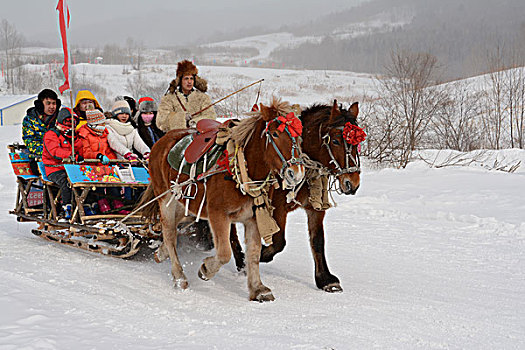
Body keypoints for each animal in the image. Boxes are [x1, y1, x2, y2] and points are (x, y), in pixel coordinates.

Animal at [144, 98, 308, 300]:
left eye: (299, 138)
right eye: (275, 133)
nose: (296, 173)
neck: (243, 168)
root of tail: (163, 140)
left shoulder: (254, 217)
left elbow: (253, 254)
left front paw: (257, 288)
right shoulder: (218, 215)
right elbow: (224, 253)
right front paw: (206, 269)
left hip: (186, 204)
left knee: (174, 227)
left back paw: (161, 253)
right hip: (167, 198)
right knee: (169, 233)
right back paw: (179, 276)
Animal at [230, 100, 364, 292]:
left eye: (357, 144)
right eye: (336, 141)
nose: (352, 183)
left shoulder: (315, 208)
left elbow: (317, 241)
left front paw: (325, 279)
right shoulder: (278, 208)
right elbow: (279, 242)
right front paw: (261, 254)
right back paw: (240, 260)